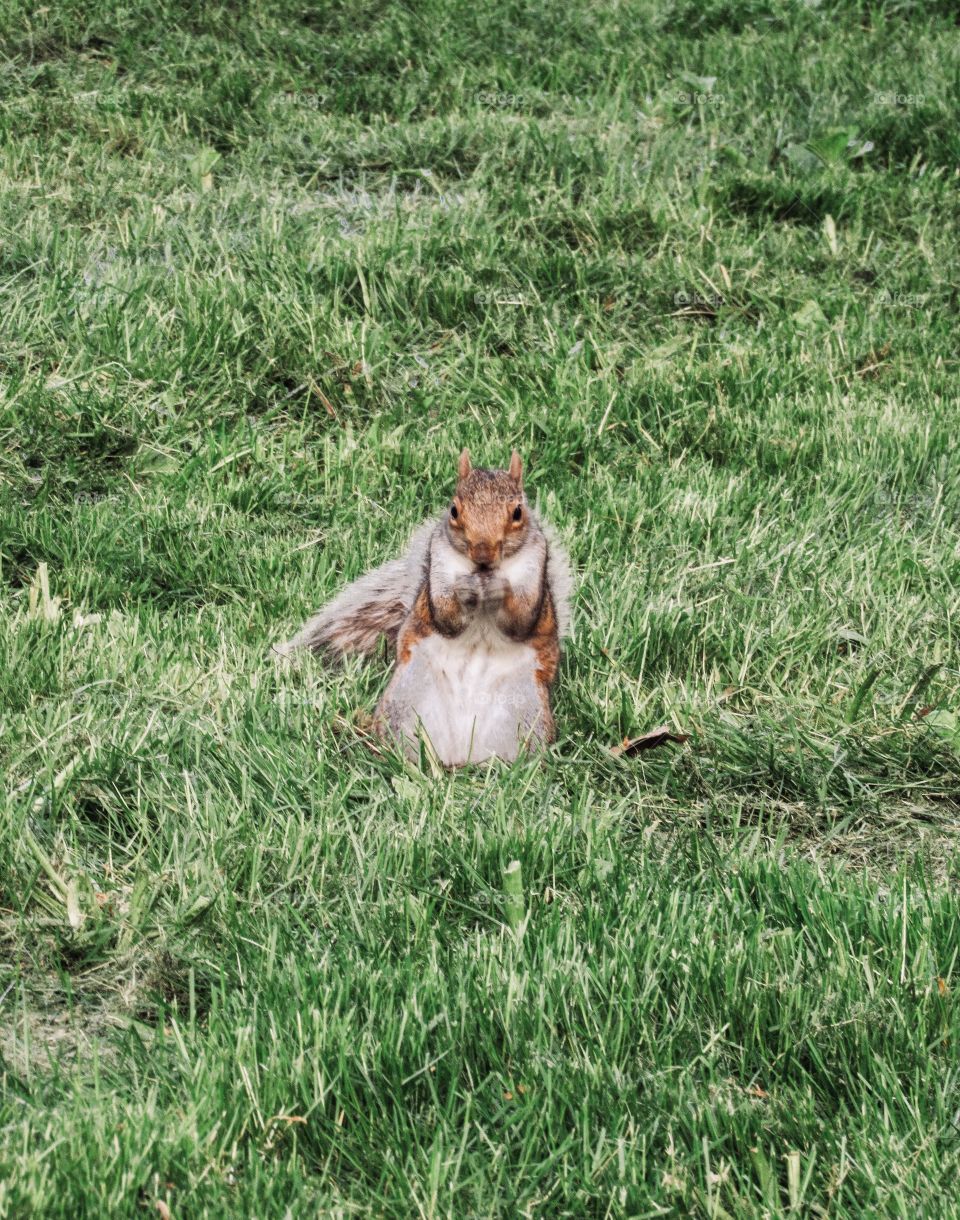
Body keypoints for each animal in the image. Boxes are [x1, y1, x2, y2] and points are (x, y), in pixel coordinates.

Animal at [274, 453, 570, 766]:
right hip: (406, 700)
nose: (483, 554)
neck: (483, 576)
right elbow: (445, 617)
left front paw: (501, 588)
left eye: (517, 513)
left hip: (526, 711)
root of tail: (459, 755)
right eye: (454, 510)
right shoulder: (439, 562)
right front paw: (463, 590)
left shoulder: (534, 569)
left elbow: (521, 620)